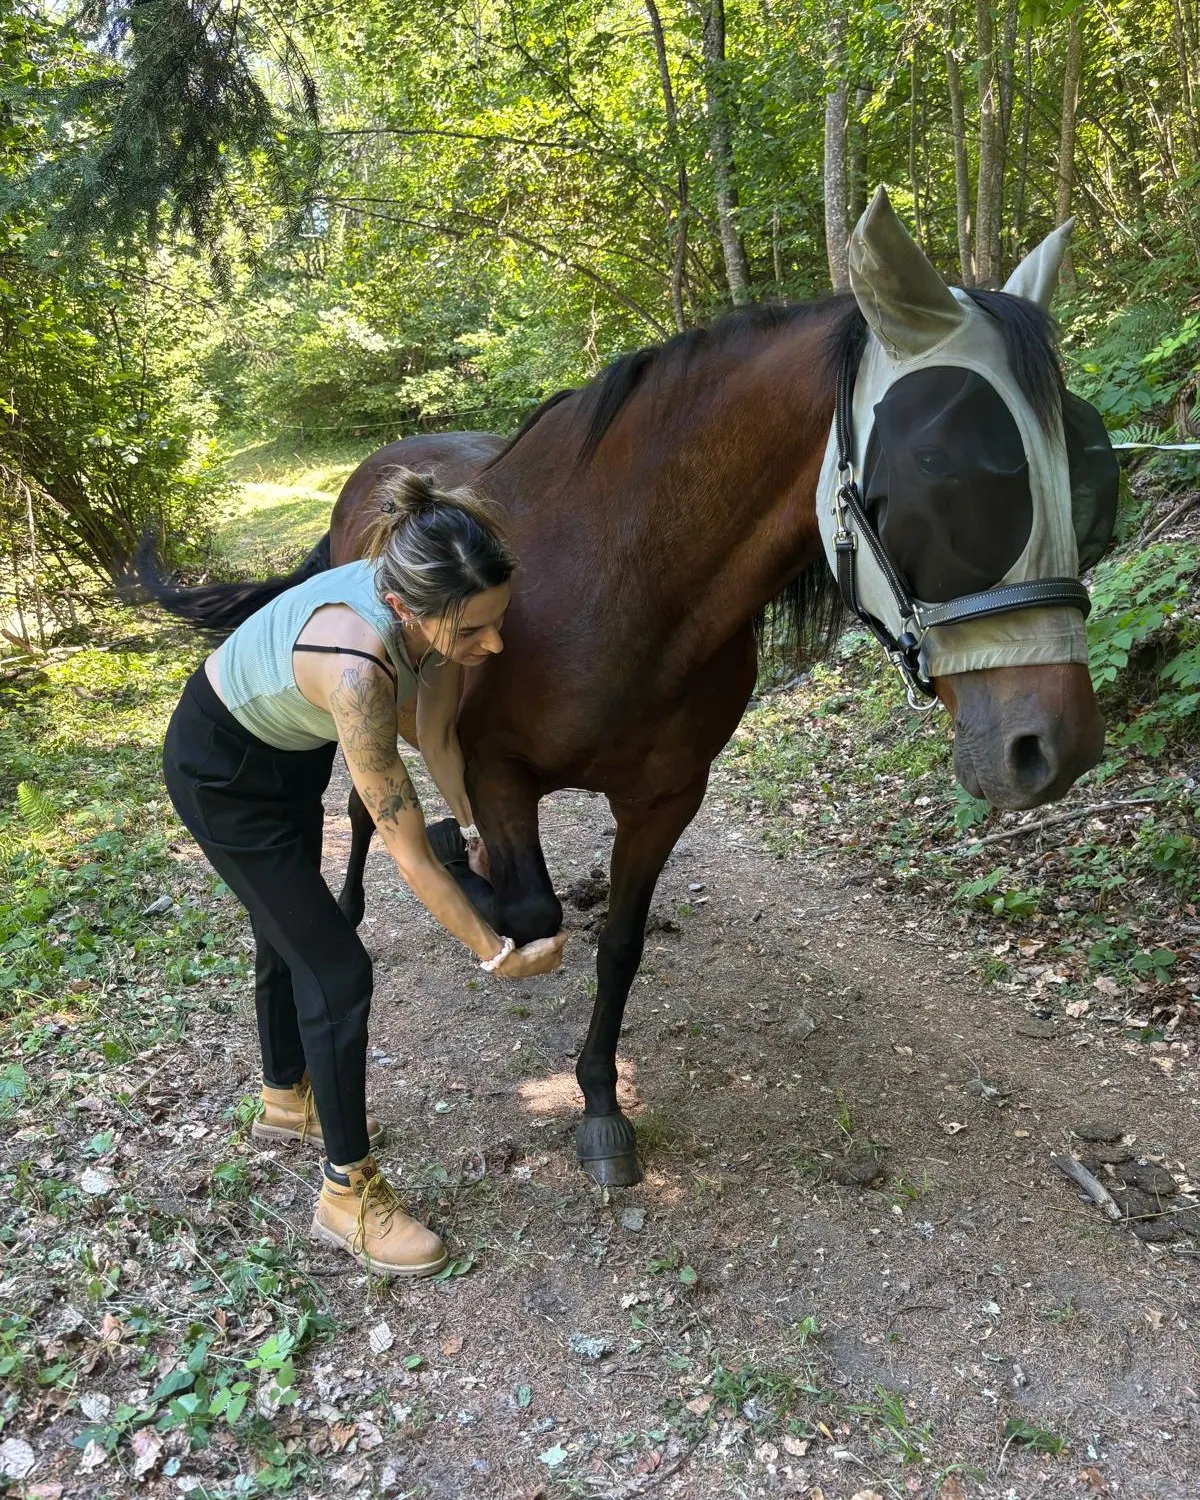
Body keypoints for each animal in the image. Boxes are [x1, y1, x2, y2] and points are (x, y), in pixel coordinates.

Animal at [139, 190, 1117, 1189]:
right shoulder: (497, 772)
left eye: (1085, 471)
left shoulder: (666, 797)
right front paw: (475, 882)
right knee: (365, 811)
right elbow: (526, 905)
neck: (621, 583)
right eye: (945, 468)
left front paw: (602, 1102)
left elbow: (619, 944)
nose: (1053, 748)